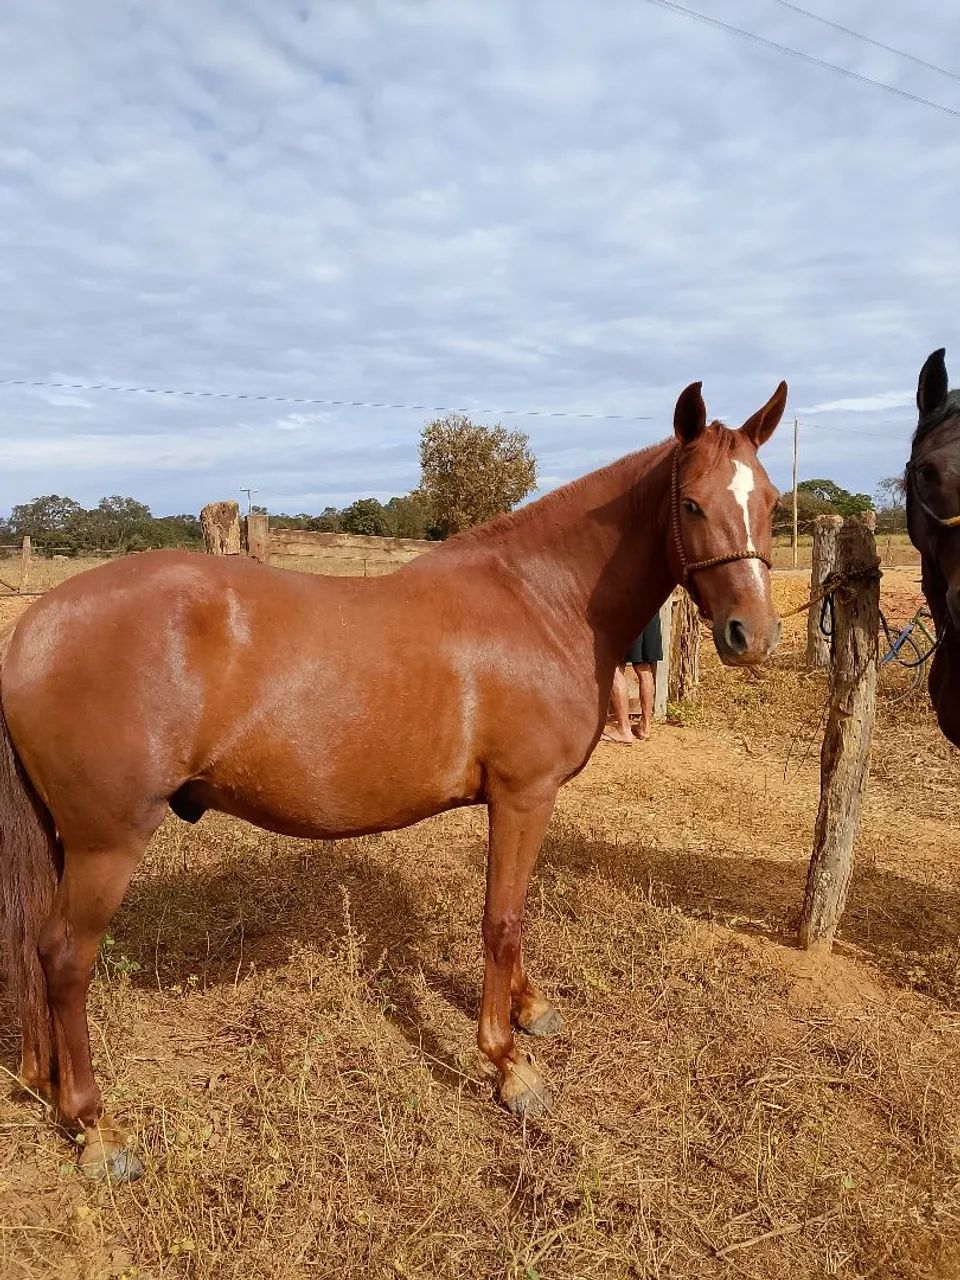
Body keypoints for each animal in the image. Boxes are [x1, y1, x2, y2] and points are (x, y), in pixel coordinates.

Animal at [0, 377, 786, 1181]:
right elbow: (502, 920)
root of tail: (37, 627)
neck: (542, 600)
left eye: (770, 500)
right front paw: (509, 1066)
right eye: (691, 504)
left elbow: (513, 916)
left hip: (67, 842)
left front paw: (531, 1011)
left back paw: (46, 1084)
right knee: (65, 958)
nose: (752, 635)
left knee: (32, 947)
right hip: (107, 843)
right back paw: (95, 1126)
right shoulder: (524, 794)